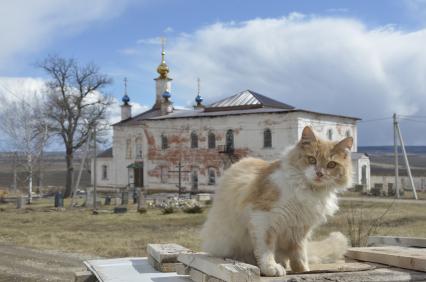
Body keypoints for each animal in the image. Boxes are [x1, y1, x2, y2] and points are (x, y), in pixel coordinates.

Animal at [201, 126, 352, 276]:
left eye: (331, 165)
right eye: (311, 159)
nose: (320, 174)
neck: (308, 190)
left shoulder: (300, 228)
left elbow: (299, 254)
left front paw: (303, 270)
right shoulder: (263, 218)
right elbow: (266, 248)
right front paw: (271, 267)